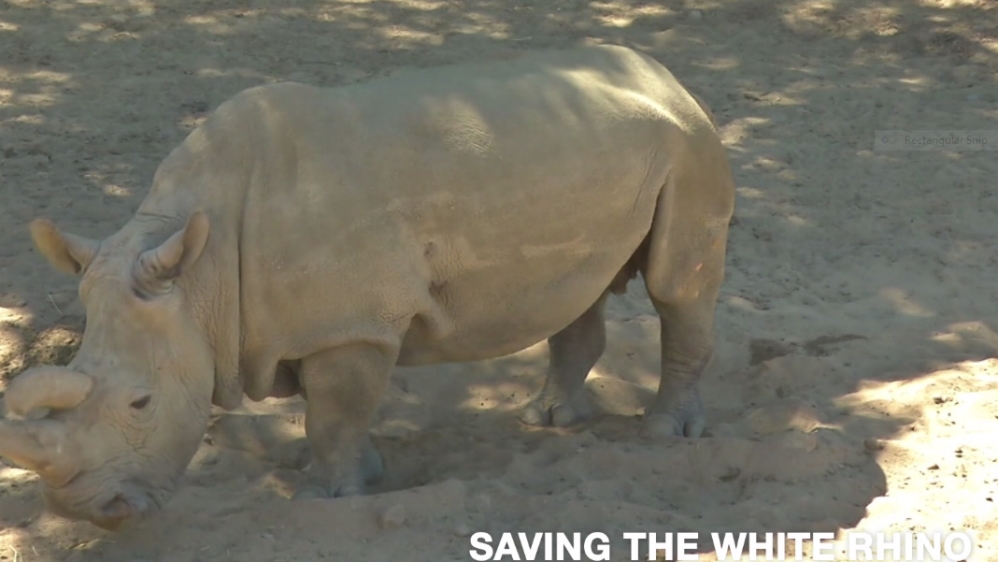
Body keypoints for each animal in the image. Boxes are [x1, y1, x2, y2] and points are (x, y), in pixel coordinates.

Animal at [0, 44, 734, 529]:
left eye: (142, 404)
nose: (86, 512)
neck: (200, 275)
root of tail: (668, 77)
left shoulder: (350, 327)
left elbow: (333, 412)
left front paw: (328, 498)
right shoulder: (320, 321)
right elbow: (332, 412)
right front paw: (363, 473)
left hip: (690, 143)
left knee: (676, 285)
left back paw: (668, 432)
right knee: (580, 286)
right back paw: (548, 420)